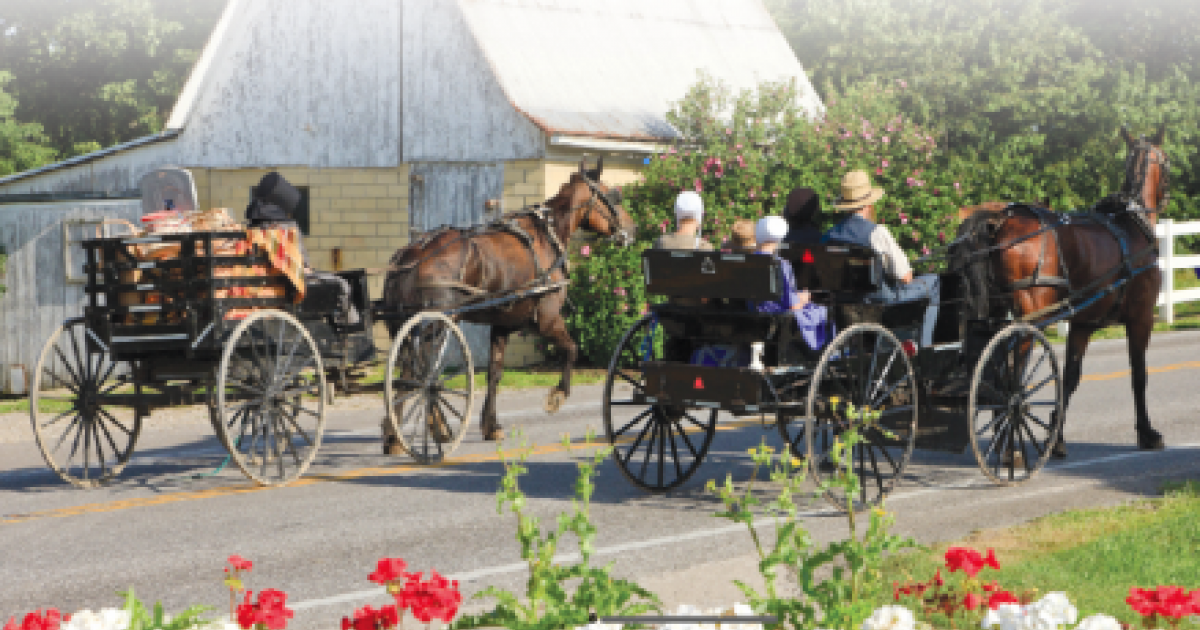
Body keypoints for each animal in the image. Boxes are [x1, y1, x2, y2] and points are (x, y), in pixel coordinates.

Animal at [381, 162, 638, 446]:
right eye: (613, 196)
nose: (633, 229)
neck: (546, 236)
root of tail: (410, 254)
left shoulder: (502, 325)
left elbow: (495, 373)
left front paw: (491, 425)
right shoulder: (547, 319)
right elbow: (572, 349)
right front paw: (557, 396)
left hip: (408, 324)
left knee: (413, 372)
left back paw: (410, 430)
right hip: (437, 324)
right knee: (423, 374)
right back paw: (413, 433)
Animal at [955, 125, 1171, 453]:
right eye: (1167, 162)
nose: (1167, 195)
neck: (1131, 224)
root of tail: (999, 222)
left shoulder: (1083, 324)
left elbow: (1070, 377)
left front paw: (1055, 436)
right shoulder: (1141, 318)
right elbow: (1139, 375)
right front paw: (1147, 432)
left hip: (995, 311)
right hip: (1032, 316)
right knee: (1012, 370)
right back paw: (1012, 440)